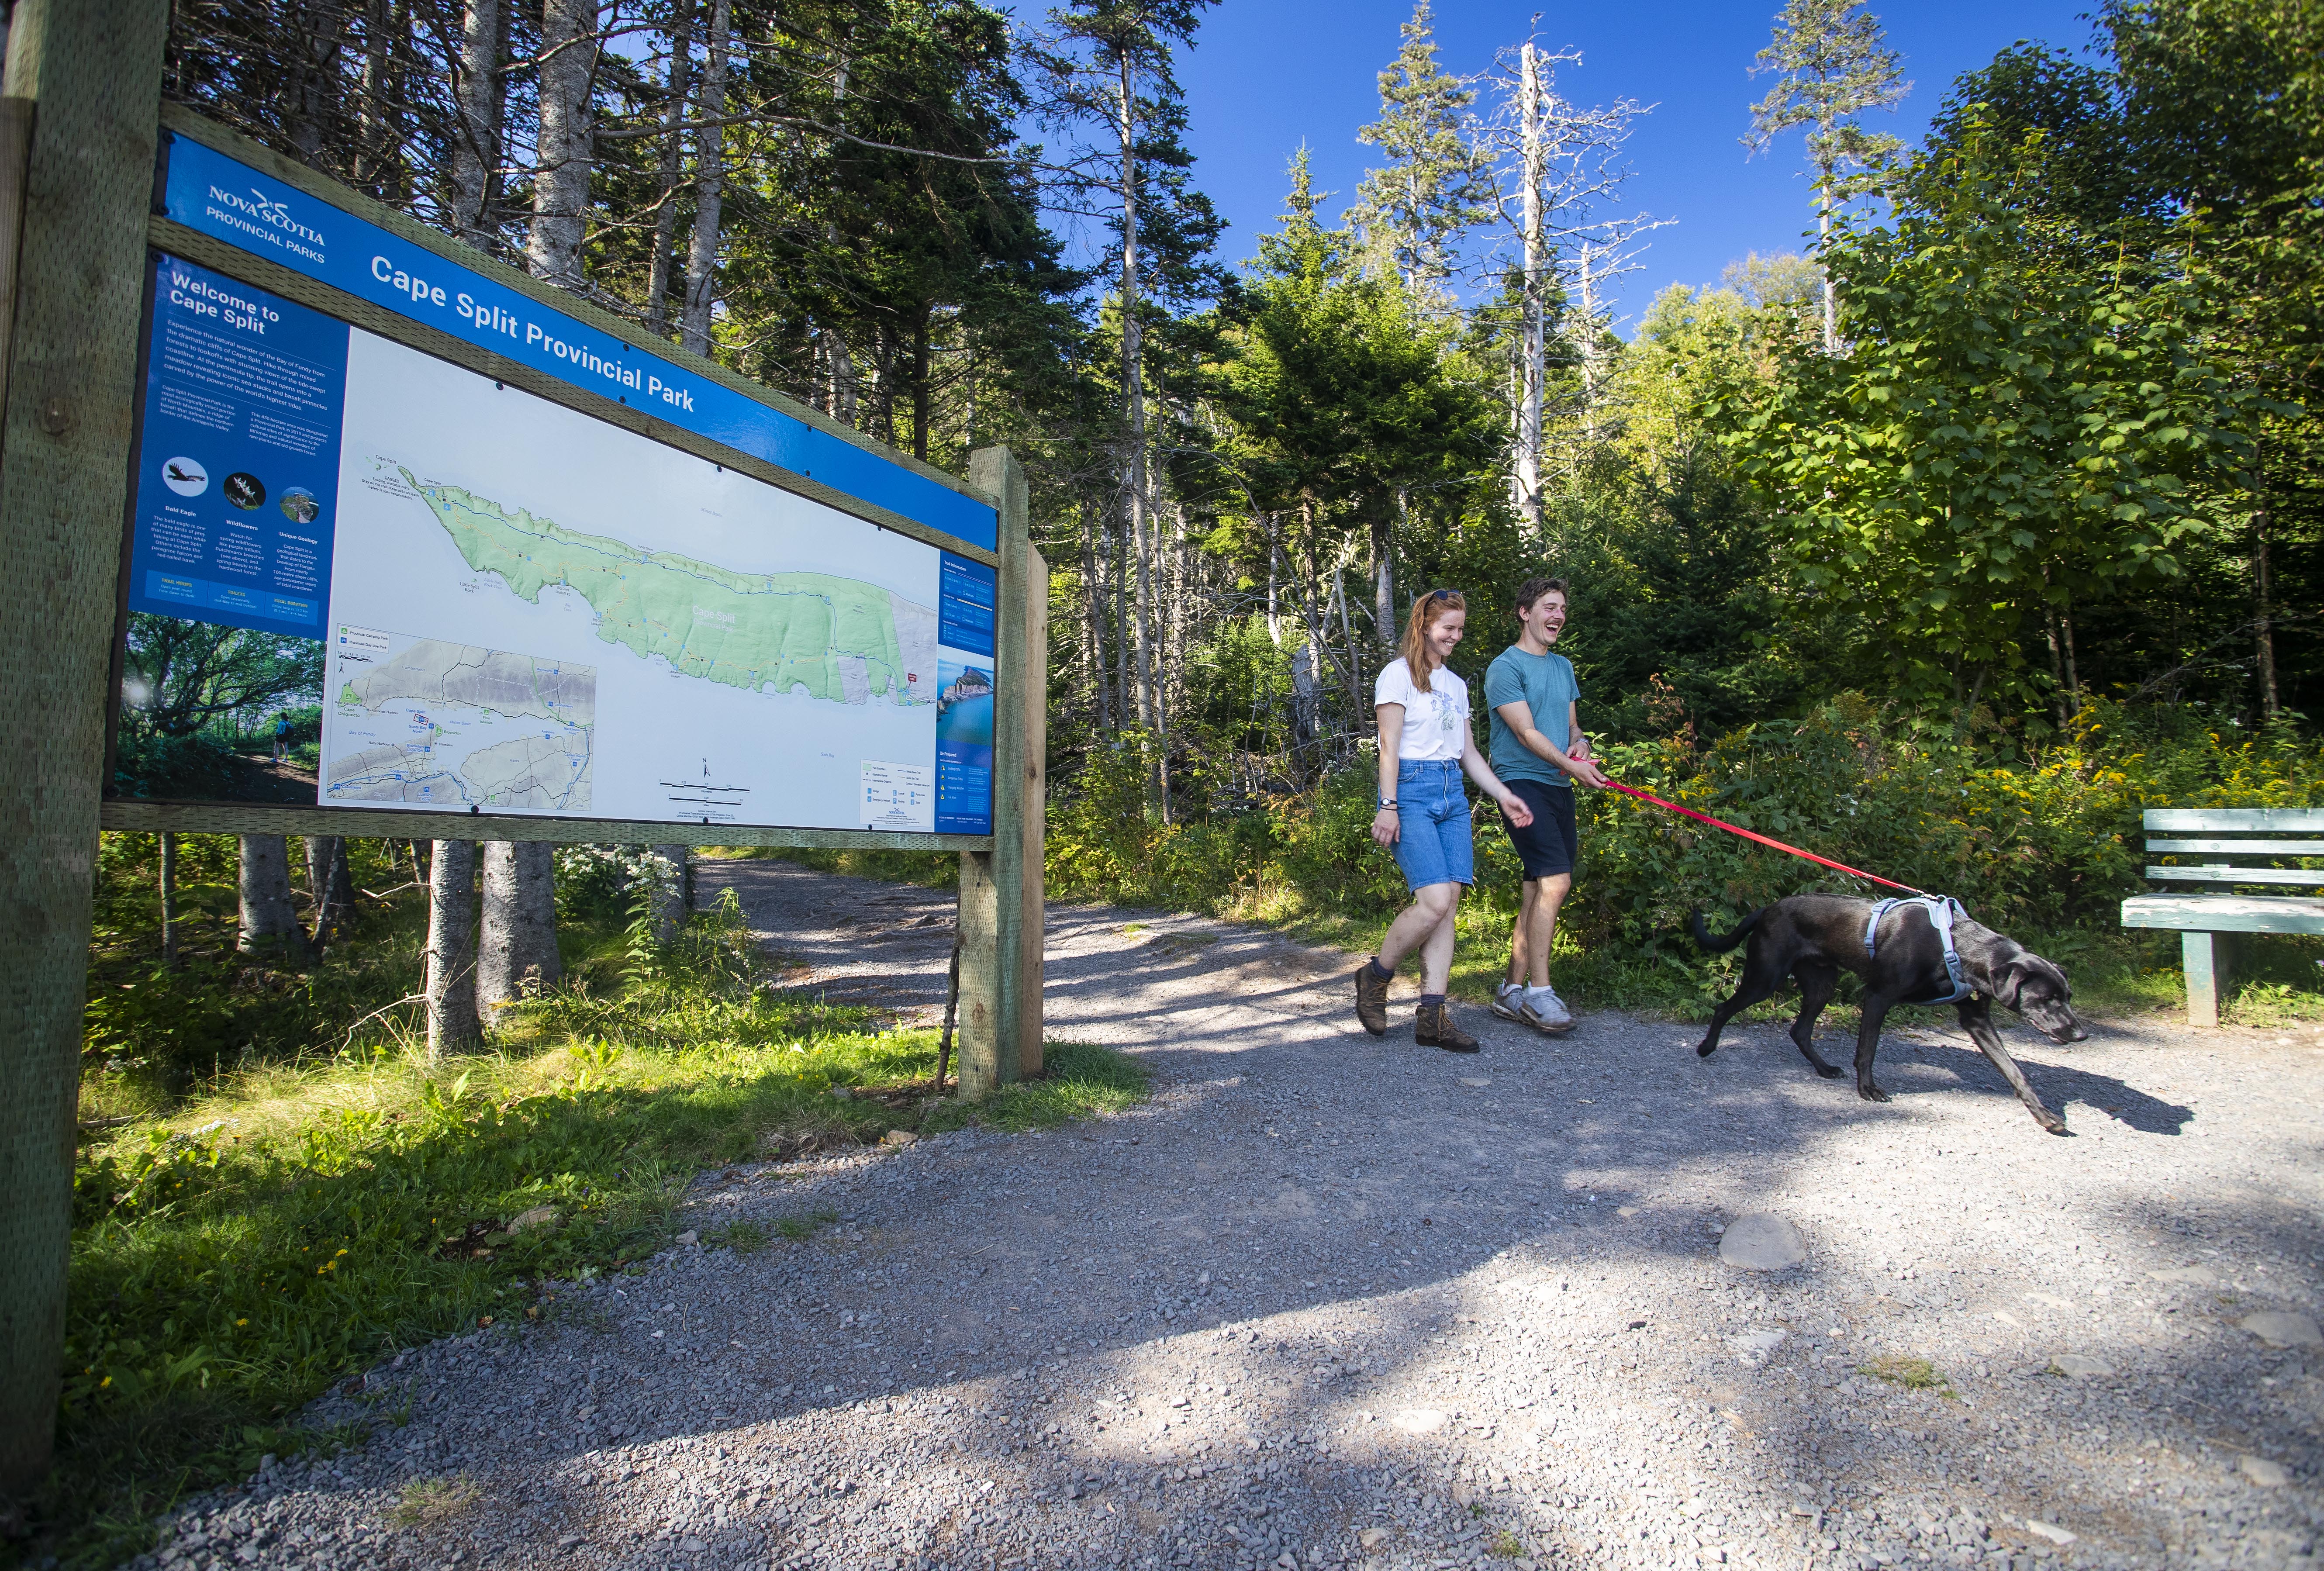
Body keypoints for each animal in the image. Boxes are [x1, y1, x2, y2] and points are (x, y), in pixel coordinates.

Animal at [1692, 897, 2091, 1129]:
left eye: (2068, 996)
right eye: (2047, 999)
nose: (2080, 1034)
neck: (1956, 946)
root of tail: (1768, 908)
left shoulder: (1976, 1019)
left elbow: (2015, 1071)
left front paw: (2045, 1116)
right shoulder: (1878, 997)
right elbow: (1867, 1051)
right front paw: (1867, 1090)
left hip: (1821, 984)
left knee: (1800, 1030)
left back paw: (1824, 1068)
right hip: (1765, 977)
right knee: (1724, 1007)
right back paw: (1706, 1047)